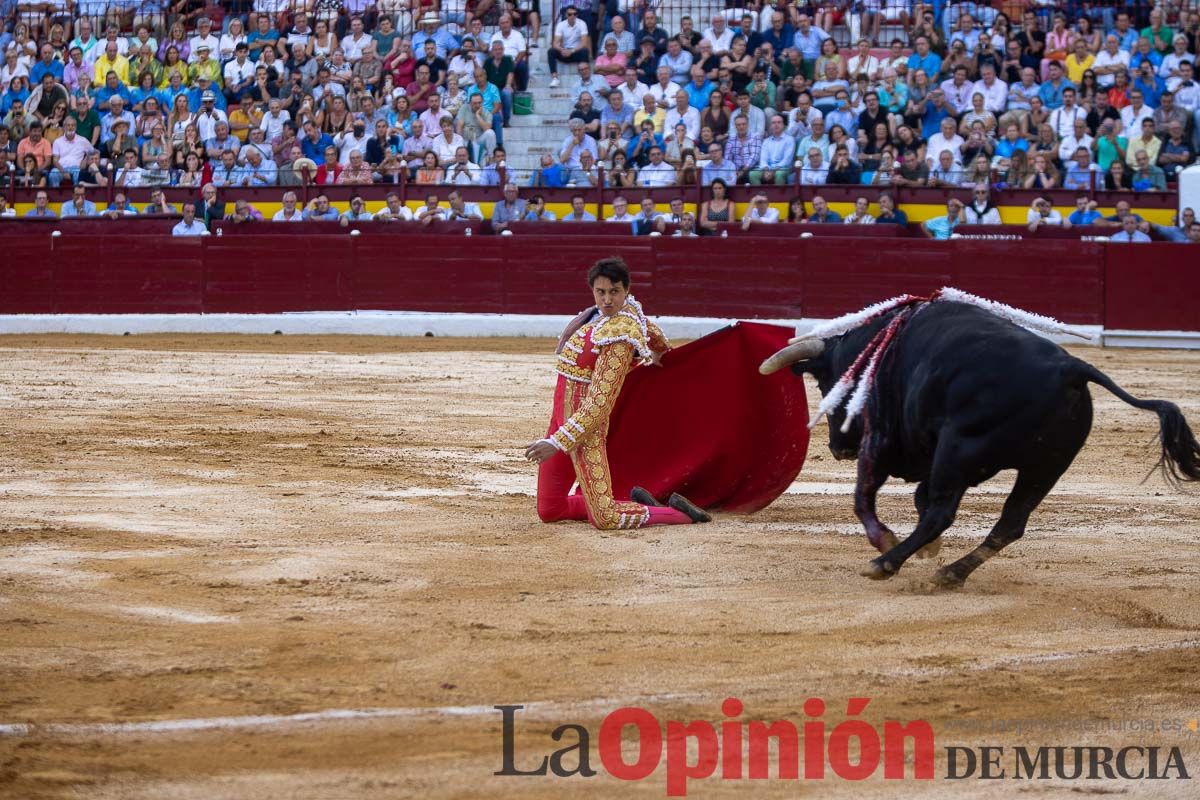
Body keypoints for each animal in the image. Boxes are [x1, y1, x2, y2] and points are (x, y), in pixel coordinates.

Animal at [758, 299, 1200, 587]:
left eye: (825, 385)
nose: (839, 448)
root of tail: (1071, 368)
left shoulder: (881, 439)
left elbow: (864, 498)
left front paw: (888, 540)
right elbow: (919, 496)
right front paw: (928, 551)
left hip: (960, 450)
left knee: (943, 514)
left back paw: (885, 563)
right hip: (1045, 468)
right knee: (1009, 524)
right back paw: (950, 572)